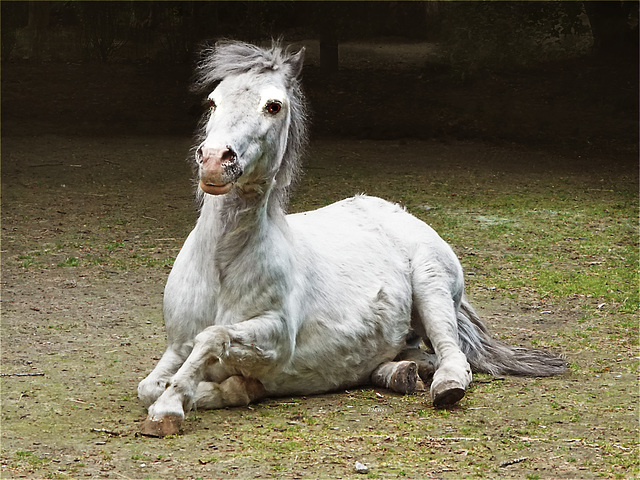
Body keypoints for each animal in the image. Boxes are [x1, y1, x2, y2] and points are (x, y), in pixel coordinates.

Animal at [139, 41, 564, 436]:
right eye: (213, 101)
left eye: (274, 106)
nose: (214, 160)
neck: (221, 267)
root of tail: (400, 213)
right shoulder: (176, 346)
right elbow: (149, 386)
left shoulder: (274, 339)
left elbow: (212, 339)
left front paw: (173, 407)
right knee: (414, 356)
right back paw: (399, 374)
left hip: (432, 288)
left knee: (451, 356)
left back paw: (442, 386)